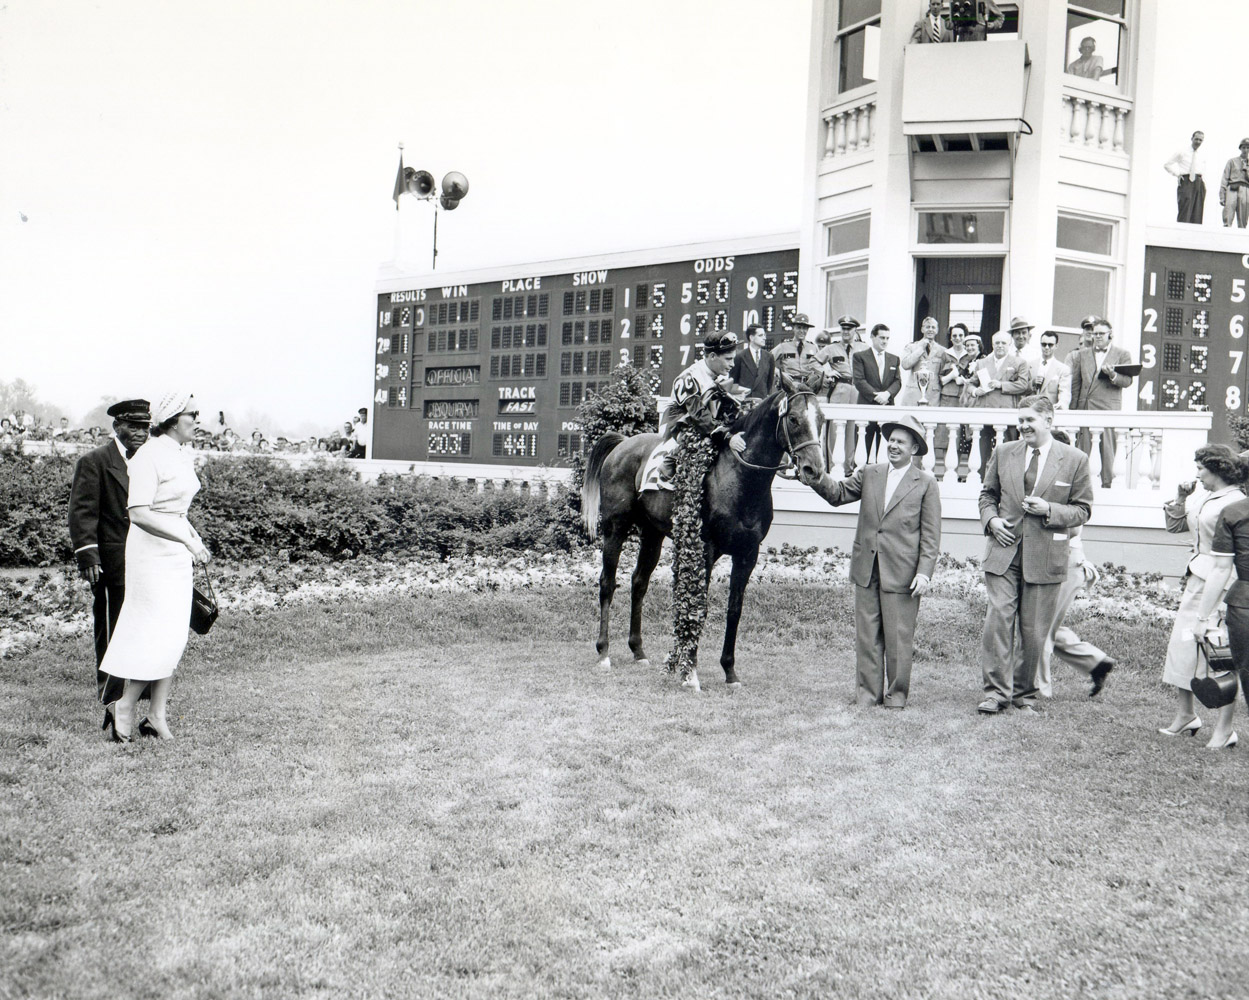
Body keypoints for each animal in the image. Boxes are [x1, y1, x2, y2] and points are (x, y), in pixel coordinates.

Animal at [579, 379, 824, 689]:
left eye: (821, 419)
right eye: (793, 419)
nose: (814, 469)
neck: (738, 478)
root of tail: (623, 443)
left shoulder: (748, 554)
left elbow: (734, 610)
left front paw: (729, 671)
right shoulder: (705, 550)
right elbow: (698, 607)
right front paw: (690, 672)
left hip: (652, 535)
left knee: (638, 582)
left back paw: (638, 650)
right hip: (615, 528)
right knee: (607, 583)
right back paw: (604, 652)